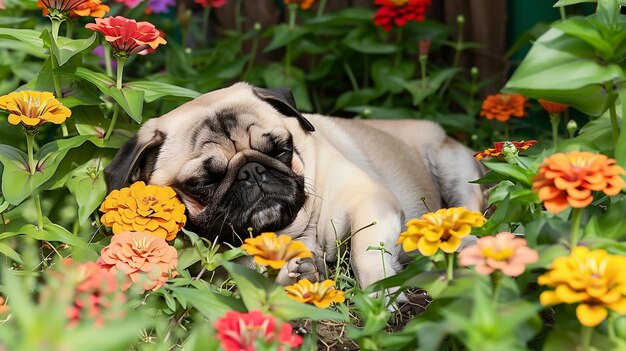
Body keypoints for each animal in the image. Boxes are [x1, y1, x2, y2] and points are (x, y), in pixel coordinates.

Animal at [103, 83, 482, 292]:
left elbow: (366, 252)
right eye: (203, 182)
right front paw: (296, 273)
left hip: (454, 166)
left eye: (280, 150)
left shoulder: (368, 201)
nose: (252, 171)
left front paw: (379, 292)